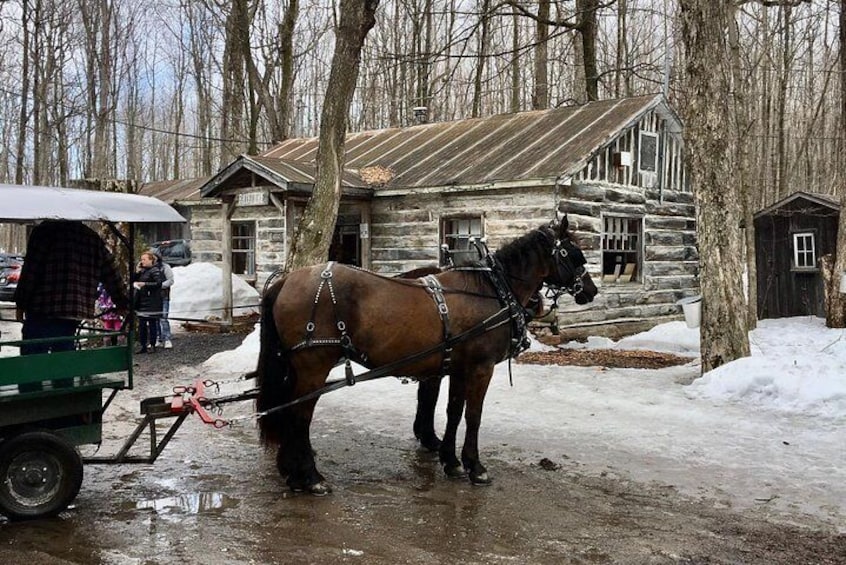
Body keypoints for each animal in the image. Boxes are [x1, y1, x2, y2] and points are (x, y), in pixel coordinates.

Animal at [255, 216, 600, 494]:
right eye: (573, 253)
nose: (591, 290)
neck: (492, 291)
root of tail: (287, 281)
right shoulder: (481, 367)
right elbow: (473, 415)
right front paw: (476, 467)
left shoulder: (458, 367)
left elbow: (453, 411)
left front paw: (451, 461)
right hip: (314, 366)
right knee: (300, 415)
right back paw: (310, 477)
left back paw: (292, 472)